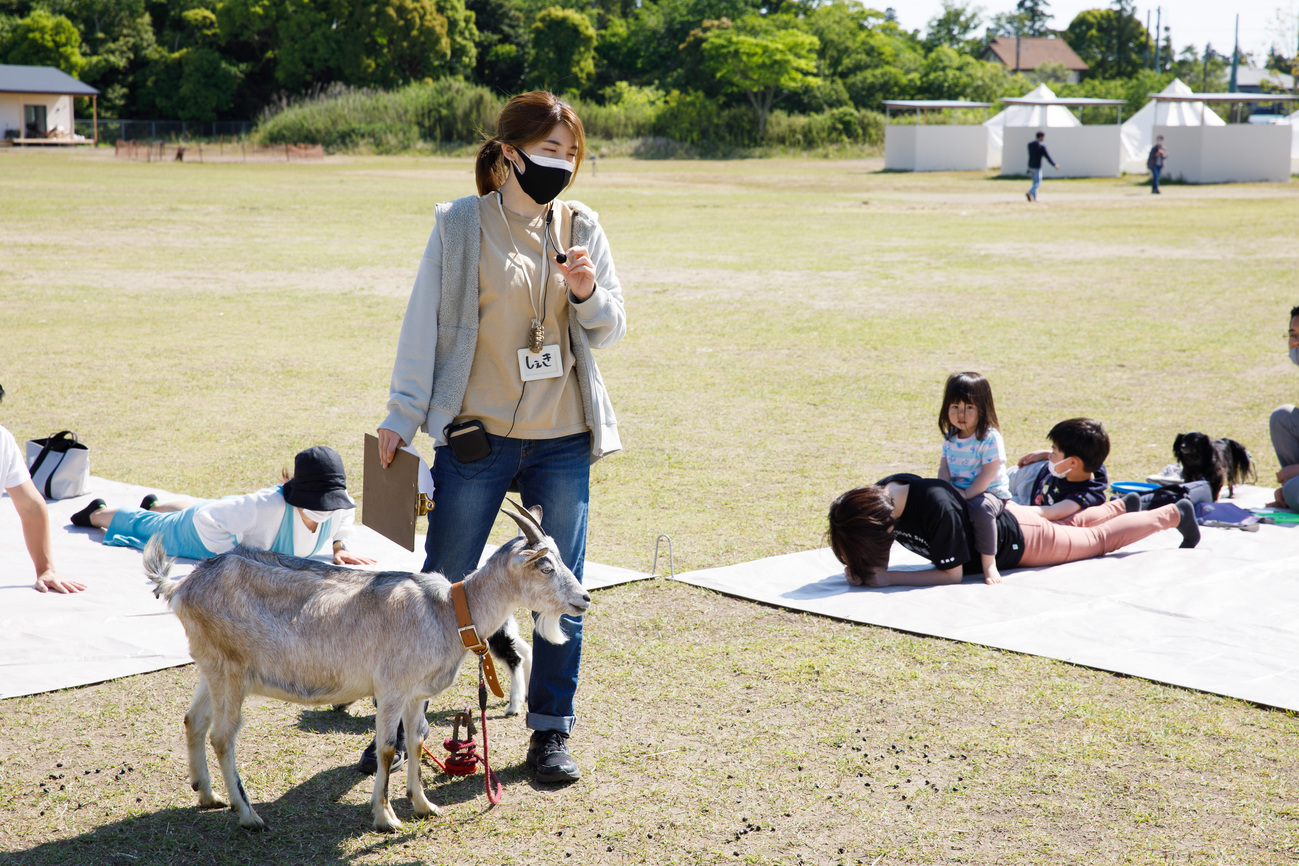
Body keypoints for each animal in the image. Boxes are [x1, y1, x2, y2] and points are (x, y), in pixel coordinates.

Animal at [143, 501, 589, 830]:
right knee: (222, 736)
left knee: (194, 721)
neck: (446, 612)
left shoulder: (415, 694)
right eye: (545, 566)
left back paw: (207, 794)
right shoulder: (390, 689)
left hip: (211, 666)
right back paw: (249, 815)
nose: (584, 599)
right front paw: (385, 817)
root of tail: (180, 585)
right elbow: (389, 748)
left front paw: (424, 805)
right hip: (230, 672)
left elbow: (418, 739)